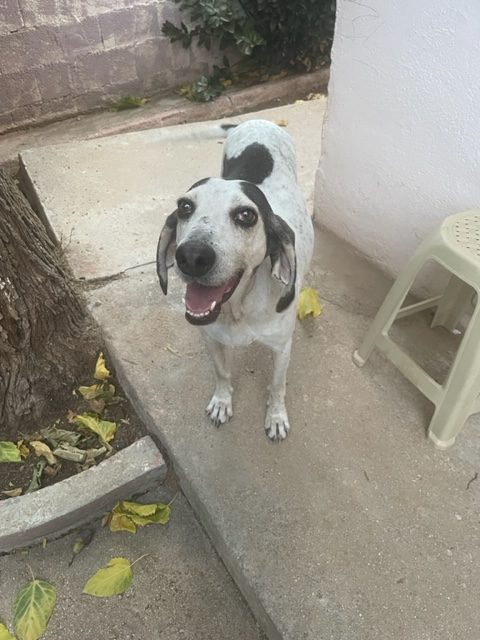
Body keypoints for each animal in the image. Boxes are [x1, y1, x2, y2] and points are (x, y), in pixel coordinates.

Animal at [156, 119, 314, 441]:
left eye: (246, 215)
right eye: (184, 207)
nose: (191, 256)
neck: (238, 309)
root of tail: (256, 120)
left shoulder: (281, 348)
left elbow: (277, 386)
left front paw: (276, 417)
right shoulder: (211, 339)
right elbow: (222, 372)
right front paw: (222, 402)